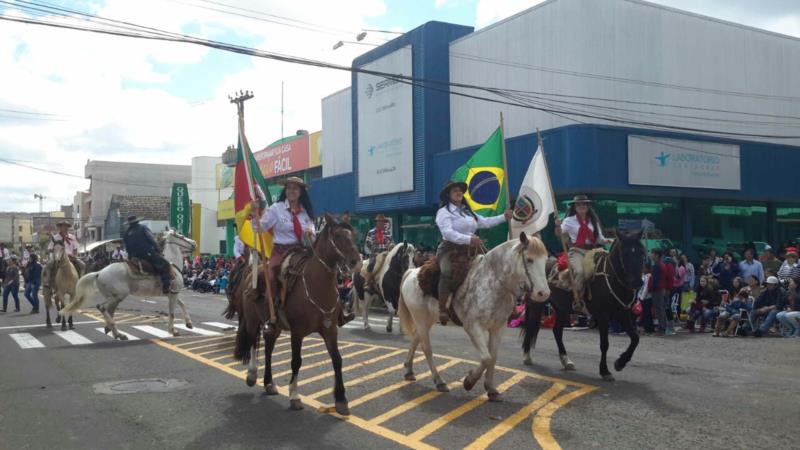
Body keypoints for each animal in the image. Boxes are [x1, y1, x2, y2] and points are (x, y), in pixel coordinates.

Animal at [61, 230, 198, 340]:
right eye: (181, 236)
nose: (194, 243)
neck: (172, 265)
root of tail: (99, 273)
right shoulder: (173, 293)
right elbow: (172, 312)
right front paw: (173, 331)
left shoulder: (172, 293)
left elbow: (182, 304)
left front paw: (189, 323)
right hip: (119, 295)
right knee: (102, 307)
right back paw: (118, 333)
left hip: (113, 297)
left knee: (109, 310)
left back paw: (113, 331)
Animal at [233, 214, 360, 414]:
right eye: (338, 235)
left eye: (353, 234)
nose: (356, 261)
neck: (316, 285)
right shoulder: (297, 332)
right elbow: (296, 361)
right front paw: (294, 396)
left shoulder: (330, 330)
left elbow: (337, 360)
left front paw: (341, 399)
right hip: (253, 320)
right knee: (253, 342)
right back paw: (252, 375)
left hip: (275, 326)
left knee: (268, 348)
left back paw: (269, 383)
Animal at [398, 232, 552, 400]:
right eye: (529, 259)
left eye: (545, 260)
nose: (543, 294)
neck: (493, 283)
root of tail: (412, 273)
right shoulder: (473, 327)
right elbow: (486, 358)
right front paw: (469, 381)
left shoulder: (498, 327)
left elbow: (493, 357)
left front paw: (491, 388)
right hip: (420, 318)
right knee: (427, 348)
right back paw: (439, 381)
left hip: (429, 319)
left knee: (415, 338)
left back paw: (409, 370)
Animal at [520, 230, 648, 382]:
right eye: (625, 253)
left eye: (642, 253)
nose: (638, 282)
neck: (611, 279)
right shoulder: (603, 316)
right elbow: (604, 344)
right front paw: (605, 370)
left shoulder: (623, 313)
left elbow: (635, 338)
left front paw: (620, 362)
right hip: (537, 304)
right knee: (531, 325)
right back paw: (527, 356)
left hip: (561, 309)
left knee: (557, 331)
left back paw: (566, 361)